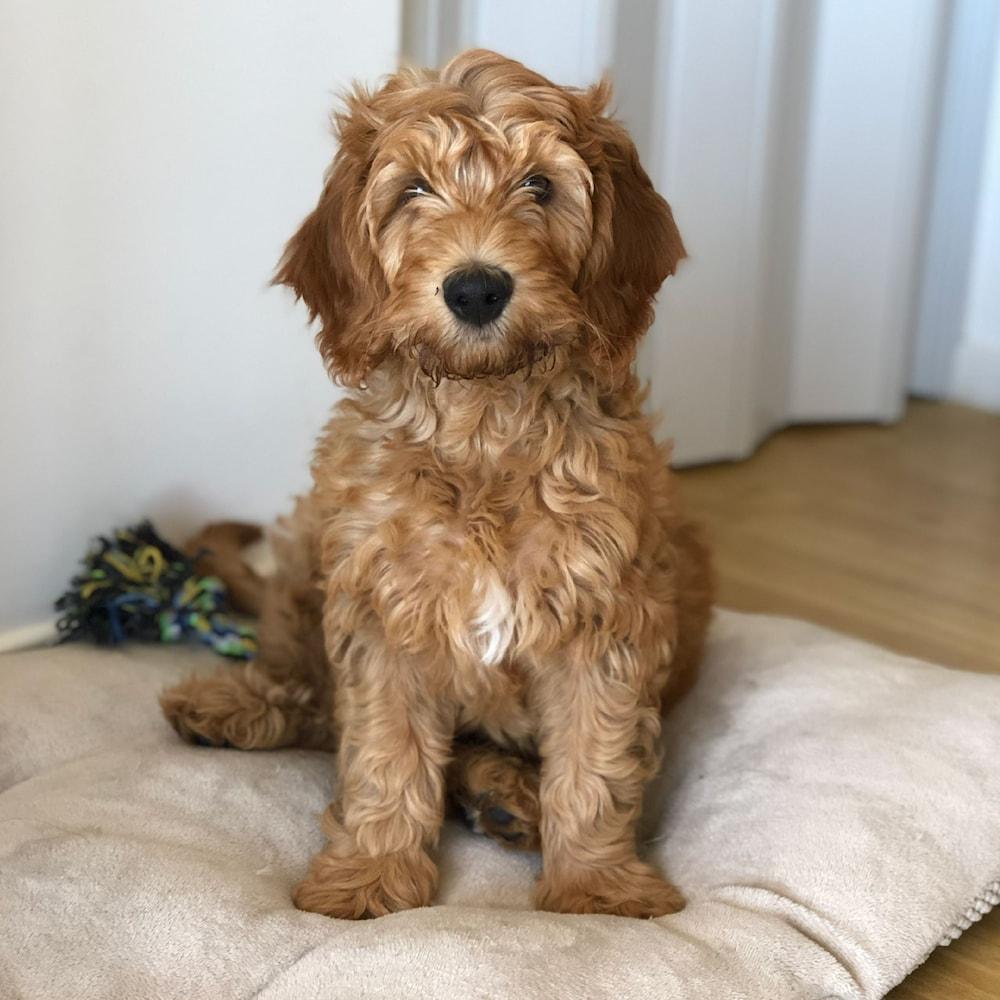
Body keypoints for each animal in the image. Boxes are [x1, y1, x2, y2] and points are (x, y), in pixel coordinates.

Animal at [160, 47, 712, 920]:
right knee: (304, 687)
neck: (483, 426)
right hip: (310, 548)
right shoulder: (383, 611)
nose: (476, 287)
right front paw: (371, 875)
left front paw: (597, 888)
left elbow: (595, 763)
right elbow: (382, 753)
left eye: (540, 186)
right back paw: (235, 706)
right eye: (414, 190)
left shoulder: (606, 618)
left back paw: (505, 794)